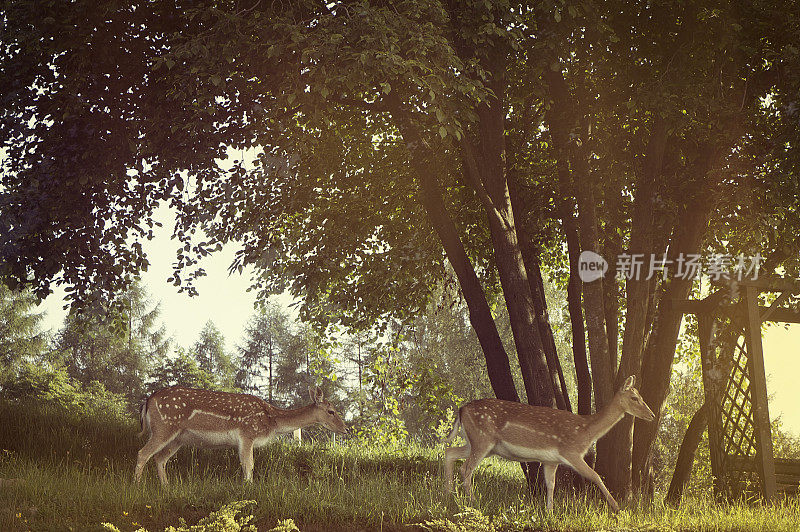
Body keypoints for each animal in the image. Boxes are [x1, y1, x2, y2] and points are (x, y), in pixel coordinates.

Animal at [135, 384, 346, 484]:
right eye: (331, 411)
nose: (345, 429)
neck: (272, 420)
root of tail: (148, 400)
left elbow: (248, 465)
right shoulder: (247, 433)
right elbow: (248, 464)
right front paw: (248, 487)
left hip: (178, 438)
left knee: (160, 458)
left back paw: (166, 487)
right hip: (164, 427)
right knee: (143, 453)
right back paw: (137, 486)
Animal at [440, 374, 652, 512]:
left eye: (642, 396)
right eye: (634, 398)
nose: (651, 414)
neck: (586, 430)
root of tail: (462, 409)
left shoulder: (551, 460)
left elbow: (551, 484)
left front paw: (549, 511)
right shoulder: (571, 451)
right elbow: (595, 475)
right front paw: (617, 508)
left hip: (478, 443)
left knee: (450, 452)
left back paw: (448, 495)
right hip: (482, 438)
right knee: (466, 468)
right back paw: (471, 502)